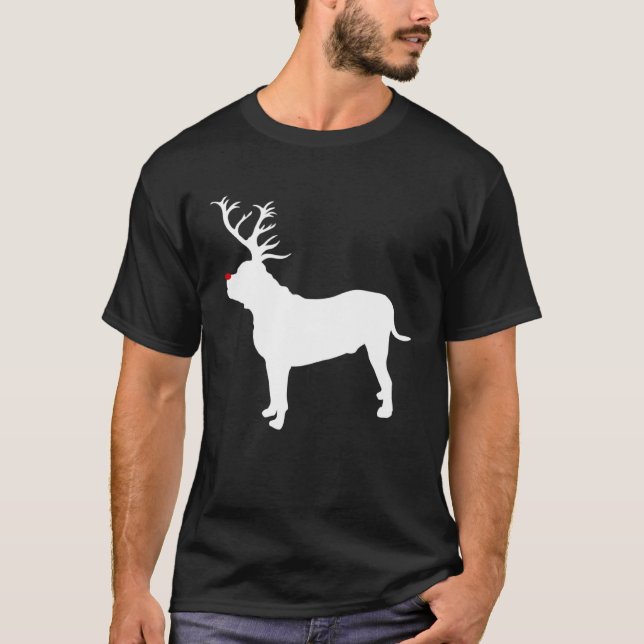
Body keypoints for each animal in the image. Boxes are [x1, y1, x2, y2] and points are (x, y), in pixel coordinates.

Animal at [211, 196, 411, 430]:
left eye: (243, 273)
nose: (227, 277)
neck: (268, 307)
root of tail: (387, 301)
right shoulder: (270, 362)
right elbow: (272, 389)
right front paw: (269, 411)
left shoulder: (282, 362)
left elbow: (282, 396)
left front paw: (278, 422)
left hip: (377, 344)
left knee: (388, 379)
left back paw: (385, 411)